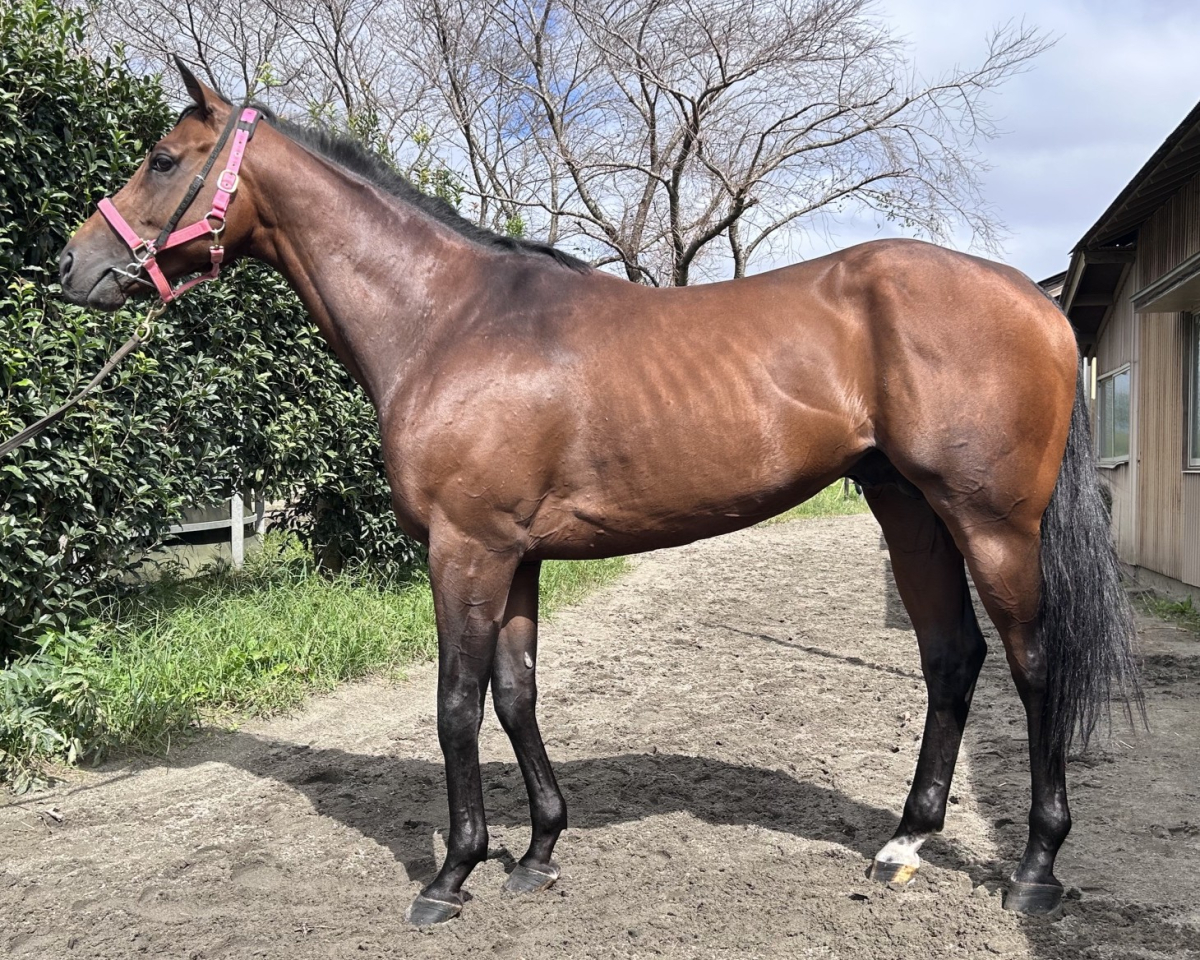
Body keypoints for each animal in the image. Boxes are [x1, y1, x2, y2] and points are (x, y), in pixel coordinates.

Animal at [58, 61, 1140, 926]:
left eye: (163, 158)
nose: (73, 265)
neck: (449, 321)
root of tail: (1033, 300)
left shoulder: (465, 549)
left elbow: (455, 704)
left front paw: (451, 874)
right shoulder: (515, 554)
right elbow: (516, 694)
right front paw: (536, 850)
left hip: (992, 522)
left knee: (1032, 665)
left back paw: (1036, 869)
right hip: (907, 508)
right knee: (952, 659)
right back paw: (904, 845)